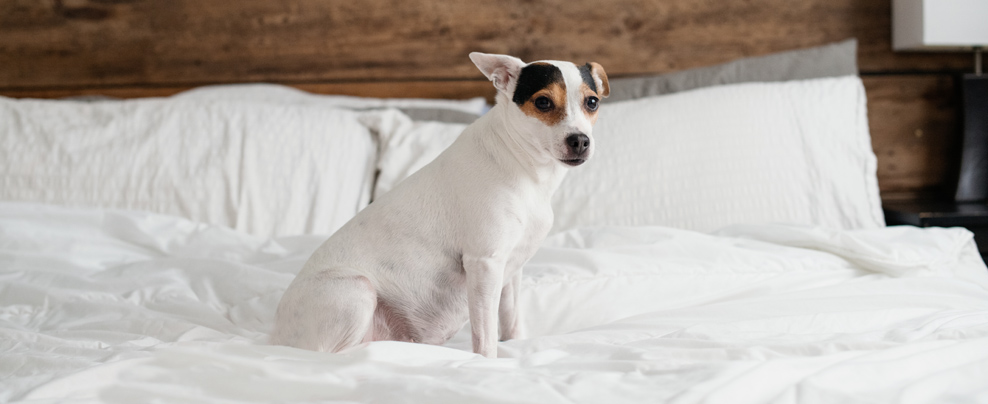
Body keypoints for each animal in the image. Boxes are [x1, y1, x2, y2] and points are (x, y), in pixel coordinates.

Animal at [272, 52, 608, 358]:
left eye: (592, 102)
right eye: (543, 103)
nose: (580, 140)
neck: (524, 167)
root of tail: (274, 338)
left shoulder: (511, 270)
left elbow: (511, 320)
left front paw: (516, 346)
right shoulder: (484, 264)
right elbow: (485, 335)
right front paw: (488, 363)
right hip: (357, 290)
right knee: (337, 353)